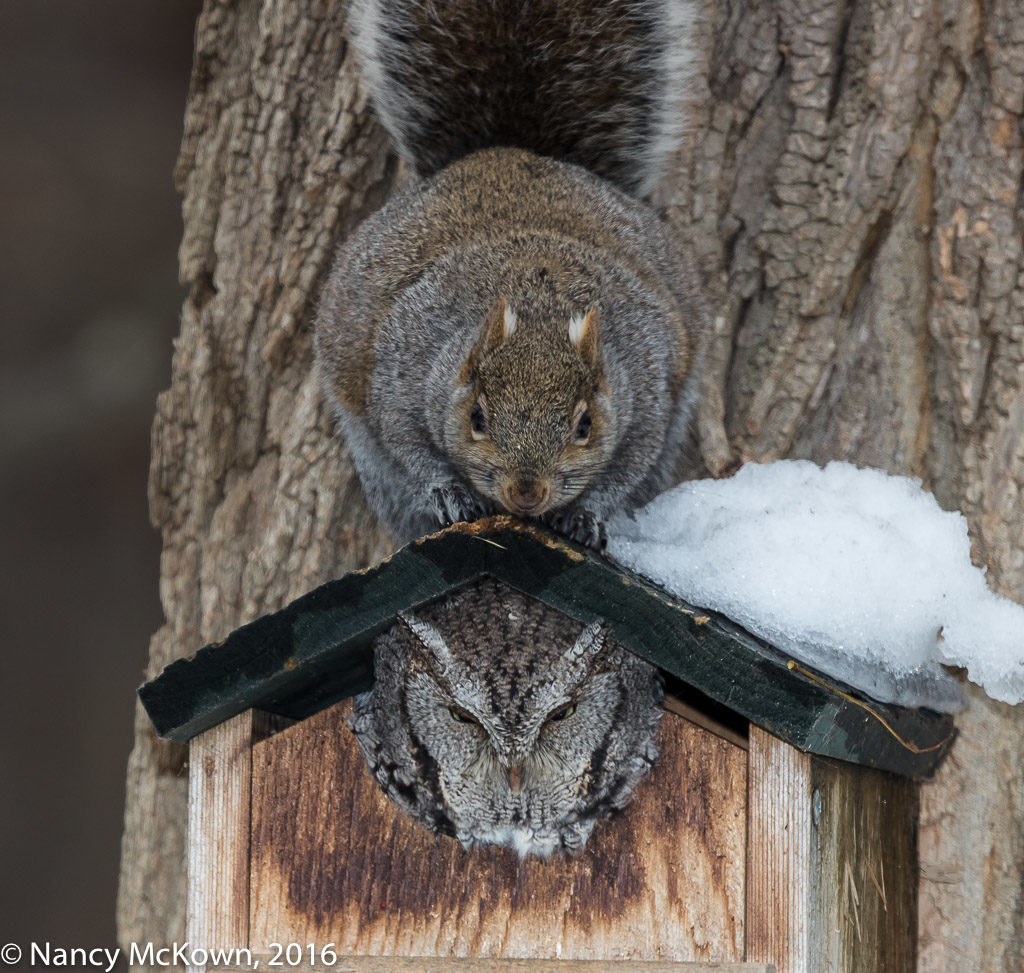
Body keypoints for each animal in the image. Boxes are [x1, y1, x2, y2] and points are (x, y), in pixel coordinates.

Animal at [315, 0, 708, 548]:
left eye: (585, 425)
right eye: (476, 417)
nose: (526, 493)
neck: (538, 304)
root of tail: (508, 152)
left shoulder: (647, 390)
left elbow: (628, 465)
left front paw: (587, 516)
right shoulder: (402, 369)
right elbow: (408, 445)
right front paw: (448, 493)